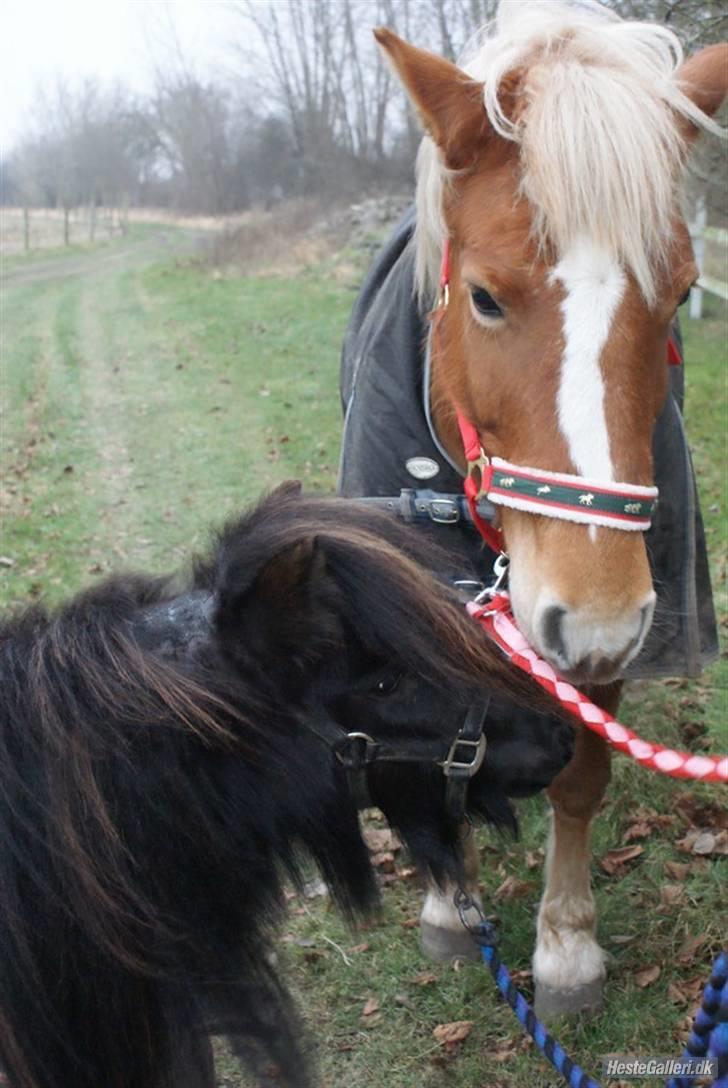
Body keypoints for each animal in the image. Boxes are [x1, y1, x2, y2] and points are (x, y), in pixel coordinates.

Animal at [378, 0, 722, 1018]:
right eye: (485, 297)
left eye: (683, 294)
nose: (595, 615)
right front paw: (449, 904)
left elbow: (582, 776)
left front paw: (567, 946)